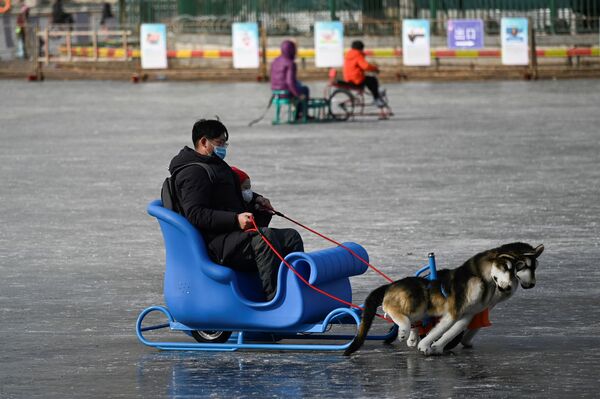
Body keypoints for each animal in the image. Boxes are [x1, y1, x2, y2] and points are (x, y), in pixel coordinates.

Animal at [344, 245, 524, 358]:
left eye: (514, 271)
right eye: (504, 267)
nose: (509, 286)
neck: (479, 278)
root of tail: (392, 284)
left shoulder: (466, 315)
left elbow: (451, 332)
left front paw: (437, 347)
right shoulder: (453, 312)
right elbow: (438, 331)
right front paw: (425, 345)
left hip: (421, 309)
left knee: (408, 320)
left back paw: (410, 336)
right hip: (418, 303)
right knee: (392, 310)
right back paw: (403, 331)